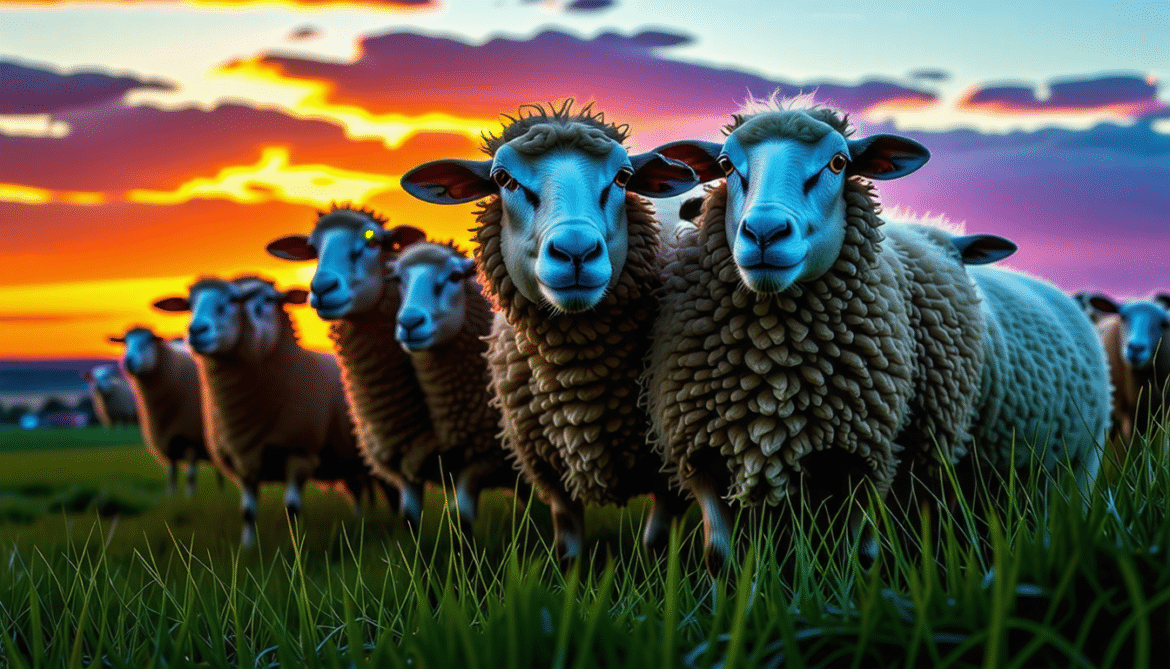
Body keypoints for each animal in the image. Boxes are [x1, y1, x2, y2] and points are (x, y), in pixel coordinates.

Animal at [107, 326, 215, 496]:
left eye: (147, 341)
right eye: (125, 343)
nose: (128, 361)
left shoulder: (192, 438)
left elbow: (190, 477)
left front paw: (190, 499)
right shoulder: (166, 439)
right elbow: (171, 475)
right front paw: (171, 497)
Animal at [153, 275, 371, 546]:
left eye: (231, 301)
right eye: (189, 305)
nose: (196, 331)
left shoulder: (299, 452)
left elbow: (292, 508)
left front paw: (294, 543)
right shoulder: (242, 458)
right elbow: (247, 512)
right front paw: (248, 546)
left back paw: (362, 521)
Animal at [400, 101, 700, 560]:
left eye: (623, 177)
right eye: (503, 179)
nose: (576, 252)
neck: (581, 386)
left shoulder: (670, 467)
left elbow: (655, 542)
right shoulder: (548, 468)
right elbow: (569, 548)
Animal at [646, 101, 989, 569]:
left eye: (839, 163)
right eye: (725, 165)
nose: (765, 233)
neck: (773, 366)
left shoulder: (866, 454)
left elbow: (860, 554)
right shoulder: (698, 451)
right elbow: (718, 554)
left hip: (930, 448)